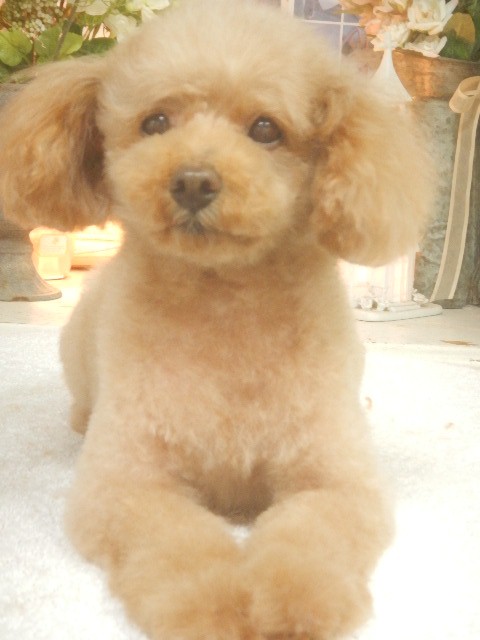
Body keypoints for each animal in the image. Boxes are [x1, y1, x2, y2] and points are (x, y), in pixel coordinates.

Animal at [0, 1, 432, 638]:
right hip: (76, 350)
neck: (226, 302)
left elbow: (309, 542)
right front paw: (217, 608)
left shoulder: (334, 479)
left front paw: (293, 604)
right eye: (155, 122)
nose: (193, 181)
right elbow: (181, 547)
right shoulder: (128, 481)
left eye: (266, 129)